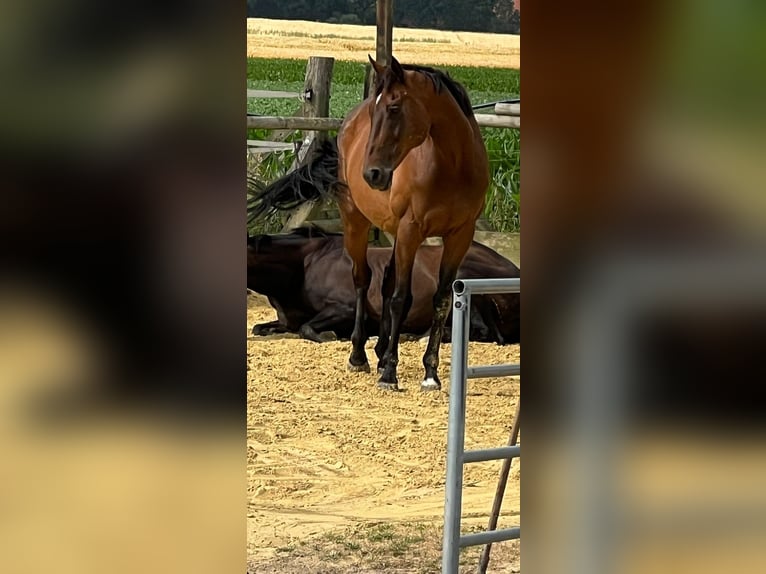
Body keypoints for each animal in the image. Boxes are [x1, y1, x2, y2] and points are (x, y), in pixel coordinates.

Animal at [252, 56, 492, 394]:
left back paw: (379, 353)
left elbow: (442, 300)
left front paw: (430, 373)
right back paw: (360, 356)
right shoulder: (411, 231)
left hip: (394, 232)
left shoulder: (459, 237)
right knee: (363, 280)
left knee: (387, 282)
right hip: (358, 224)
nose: (372, 174)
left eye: (393, 107)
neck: (451, 167)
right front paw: (389, 373)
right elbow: (400, 298)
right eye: (375, 112)